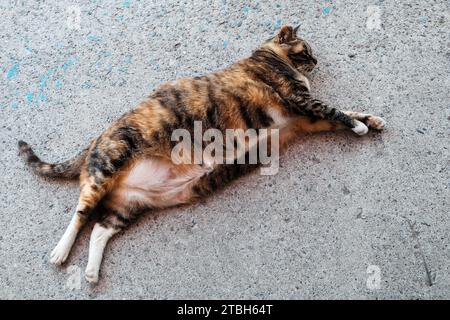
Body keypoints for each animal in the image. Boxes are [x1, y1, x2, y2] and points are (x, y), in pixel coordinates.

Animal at [16, 25, 384, 284]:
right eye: (306, 51)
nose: (317, 61)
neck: (267, 56)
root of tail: (96, 138)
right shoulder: (298, 100)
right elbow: (336, 110)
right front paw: (359, 126)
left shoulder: (305, 119)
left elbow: (345, 111)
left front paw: (372, 120)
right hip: (107, 166)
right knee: (80, 216)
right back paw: (60, 252)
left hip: (128, 205)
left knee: (99, 229)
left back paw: (92, 273)